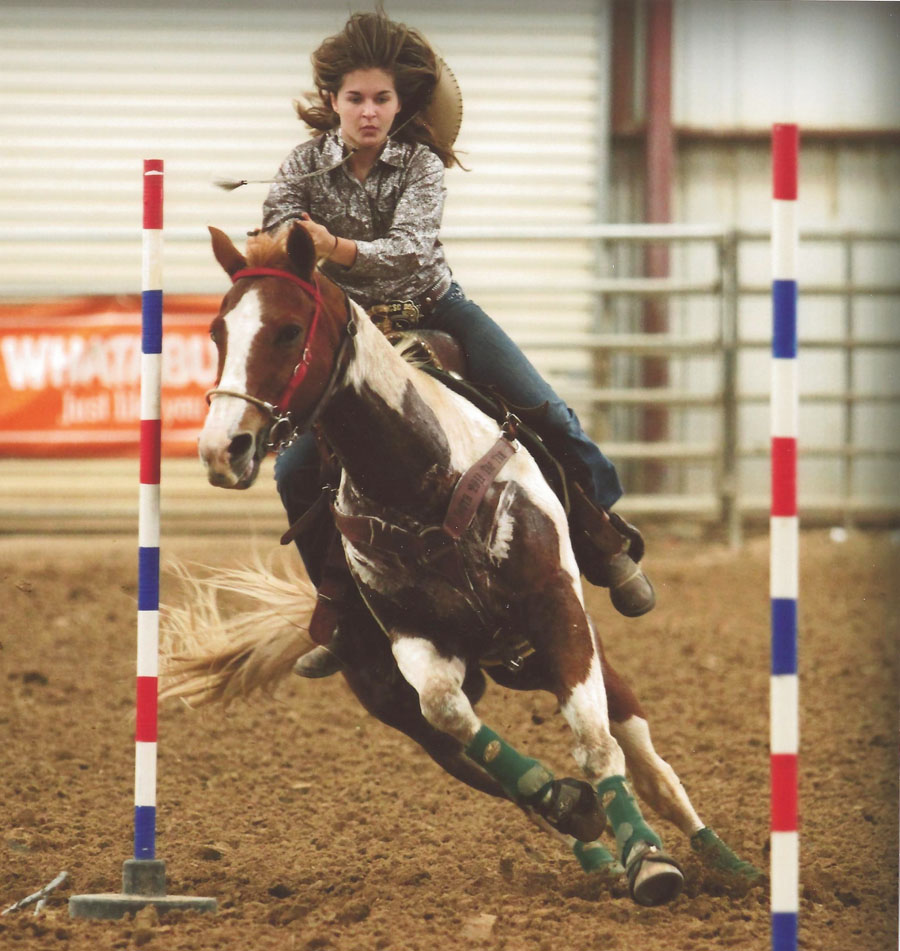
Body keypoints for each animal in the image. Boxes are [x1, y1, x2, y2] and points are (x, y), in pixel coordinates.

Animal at [190, 223, 760, 908]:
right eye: (218, 333)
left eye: (287, 330)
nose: (222, 449)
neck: (422, 480)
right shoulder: (415, 643)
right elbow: (450, 710)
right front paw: (569, 804)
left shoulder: (558, 610)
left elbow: (596, 743)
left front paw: (650, 859)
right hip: (410, 702)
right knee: (488, 768)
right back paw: (582, 830)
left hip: (574, 650)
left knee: (648, 762)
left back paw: (725, 862)